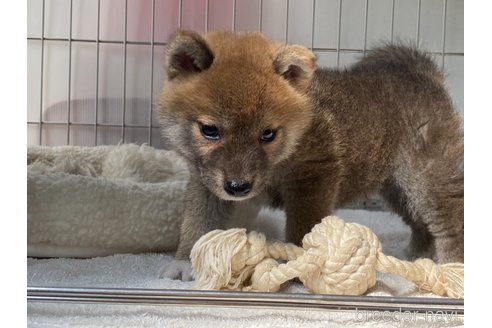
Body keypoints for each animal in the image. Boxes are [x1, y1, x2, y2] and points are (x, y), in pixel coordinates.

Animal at [159, 30, 466, 280]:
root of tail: (422, 74)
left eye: (268, 134)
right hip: (399, 190)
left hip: (429, 180)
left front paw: (298, 264)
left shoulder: (313, 176)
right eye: (210, 130)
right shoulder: (207, 182)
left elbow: (302, 228)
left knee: (451, 222)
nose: (238, 187)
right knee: (422, 224)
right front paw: (186, 261)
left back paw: (453, 269)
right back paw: (416, 255)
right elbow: (198, 223)